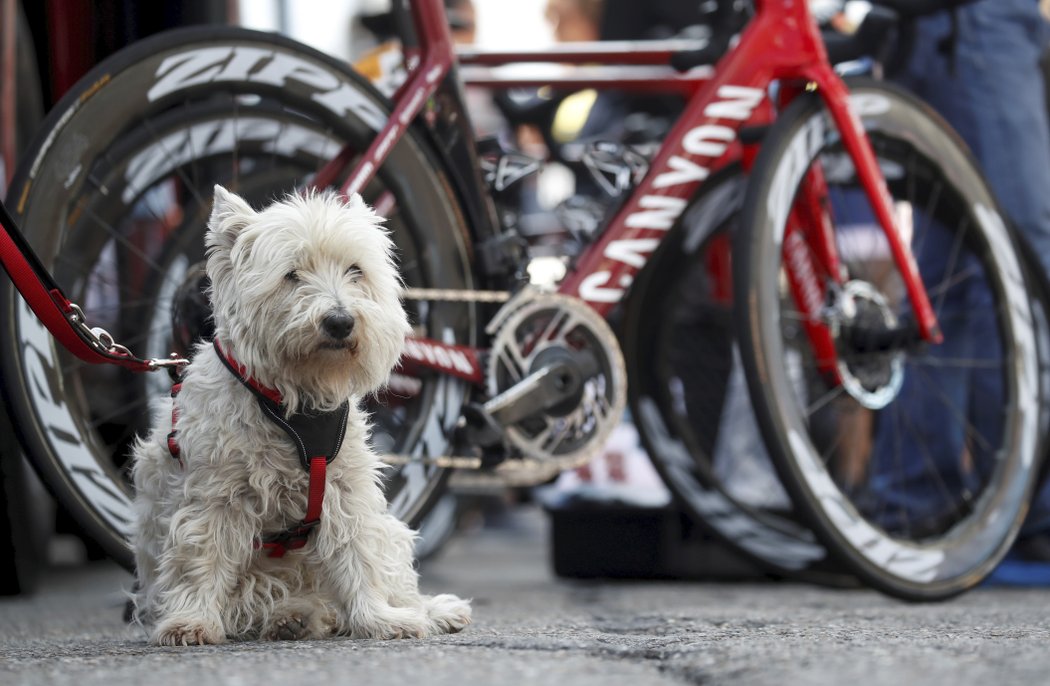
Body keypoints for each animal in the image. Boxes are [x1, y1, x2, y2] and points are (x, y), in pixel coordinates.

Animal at [130, 184, 472, 642]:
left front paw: (380, 619)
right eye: (292, 275)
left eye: (355, 270)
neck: (296, 401)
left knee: (388, 575)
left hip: (387, 533)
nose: (340, 322)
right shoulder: (213, 495)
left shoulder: (345, 490)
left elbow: (359, 555)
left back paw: (429, 611)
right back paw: (292, 616)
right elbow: (201, 556)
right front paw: (191, 622)